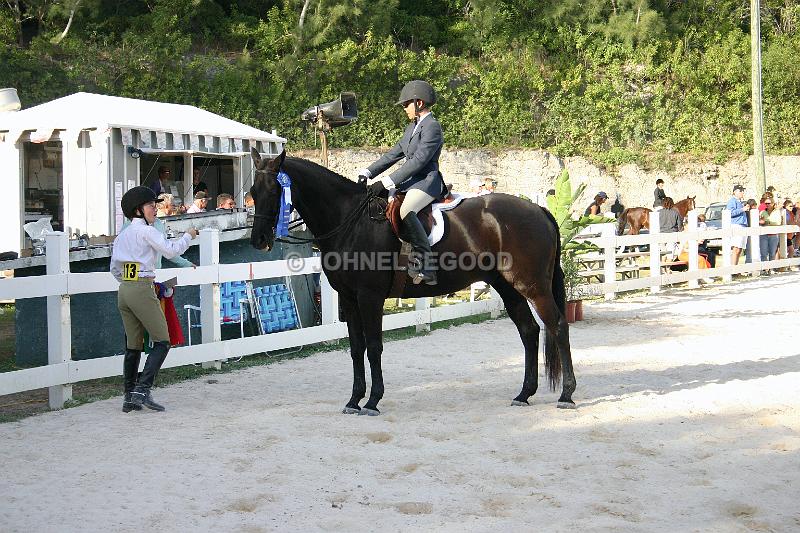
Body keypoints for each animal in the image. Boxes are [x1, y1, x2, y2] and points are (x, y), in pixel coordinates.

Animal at [250, 150, 576, 416]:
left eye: (275, 190)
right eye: (252, 190)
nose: (259, 240)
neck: (351, 222)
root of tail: (539, 210)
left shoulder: (370, 297)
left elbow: (373, 346)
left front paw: (372, 401)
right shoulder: (349, 299)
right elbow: (356, 348)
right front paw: (354, 400)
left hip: (533, 286)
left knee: (558, 326)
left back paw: (567, 395)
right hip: (508, 287)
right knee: (529, 330)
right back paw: (524, 394)